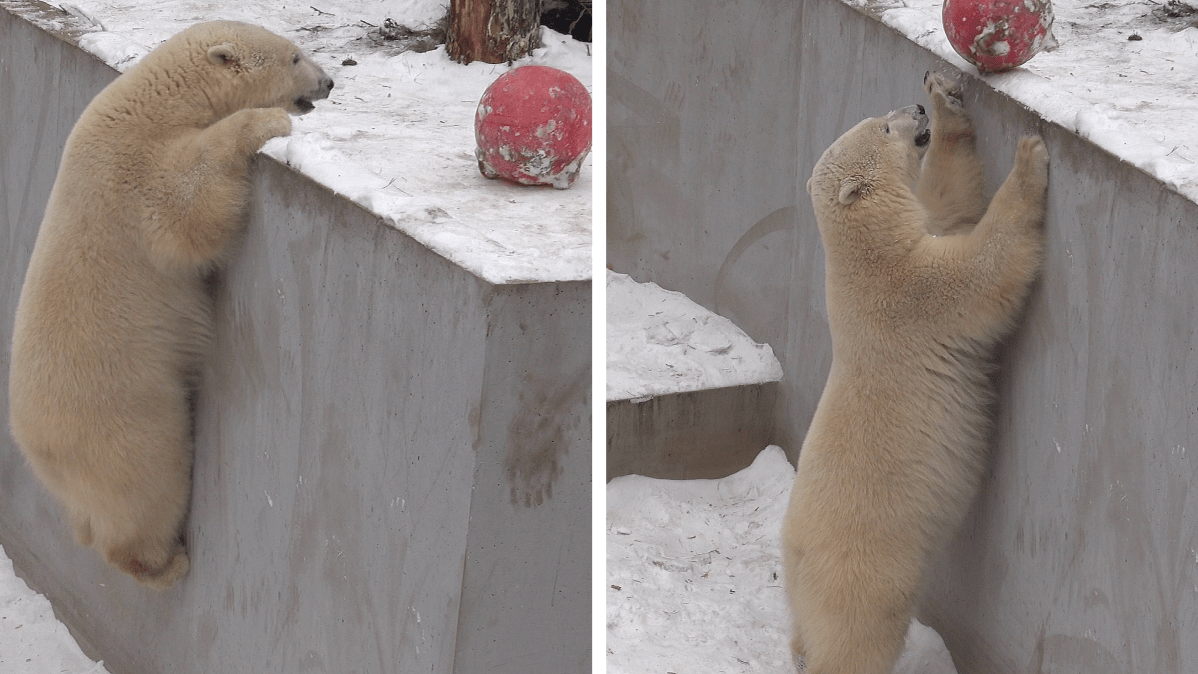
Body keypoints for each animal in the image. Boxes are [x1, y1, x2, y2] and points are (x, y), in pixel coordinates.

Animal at [10, 21, 337, 591]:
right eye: (295, 58)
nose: (330, 83)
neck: (155, 102)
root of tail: (36, 451)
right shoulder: (133, 174)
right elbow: (186, 207)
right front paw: (264, 123)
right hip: (120, 418)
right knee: (151, 481)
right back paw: (166, 564)